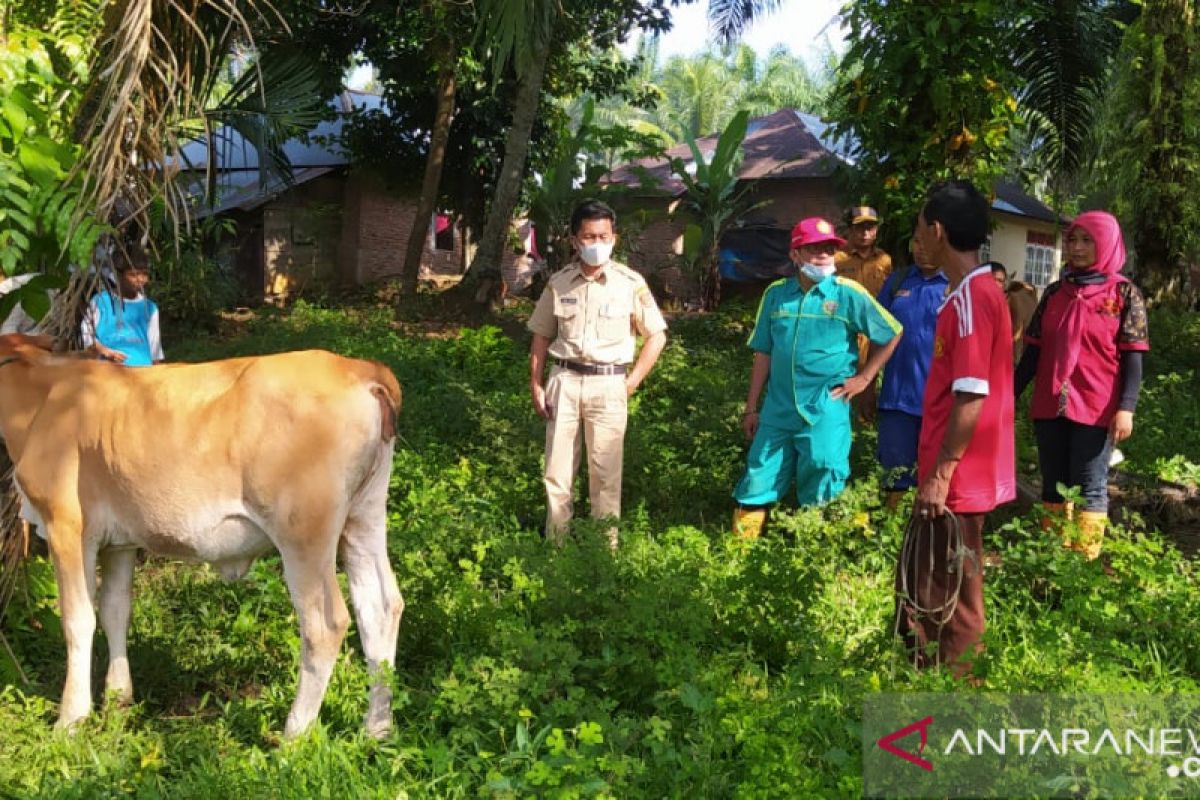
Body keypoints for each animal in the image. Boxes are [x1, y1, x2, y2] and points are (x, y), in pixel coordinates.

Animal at [0, 335, 403, 743]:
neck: (40, 399)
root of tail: (357, 367)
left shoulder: (66, 526)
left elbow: (77, 618)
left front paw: (70, 719)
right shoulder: (120, 541)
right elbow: (115, 609)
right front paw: (118, 699)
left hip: (304, 532)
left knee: (325, 624)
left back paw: (294, 734)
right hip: (364, 517)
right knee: (381, 607)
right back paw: (377, 727)